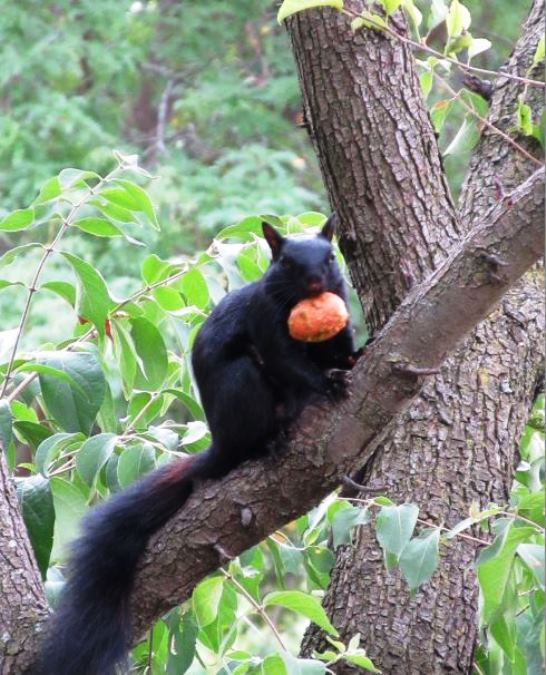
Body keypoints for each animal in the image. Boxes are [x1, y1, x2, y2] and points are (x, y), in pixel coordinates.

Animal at [34, 216, 358, 675]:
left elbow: (340, 348)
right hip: (243, 386)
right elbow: (287, 362)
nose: (315, 280)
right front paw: (326, 383)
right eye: (286, 262)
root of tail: (221, 446)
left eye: (331, 258)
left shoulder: (339, 317)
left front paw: (351, 360)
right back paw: (270, 439)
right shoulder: (265, 320)